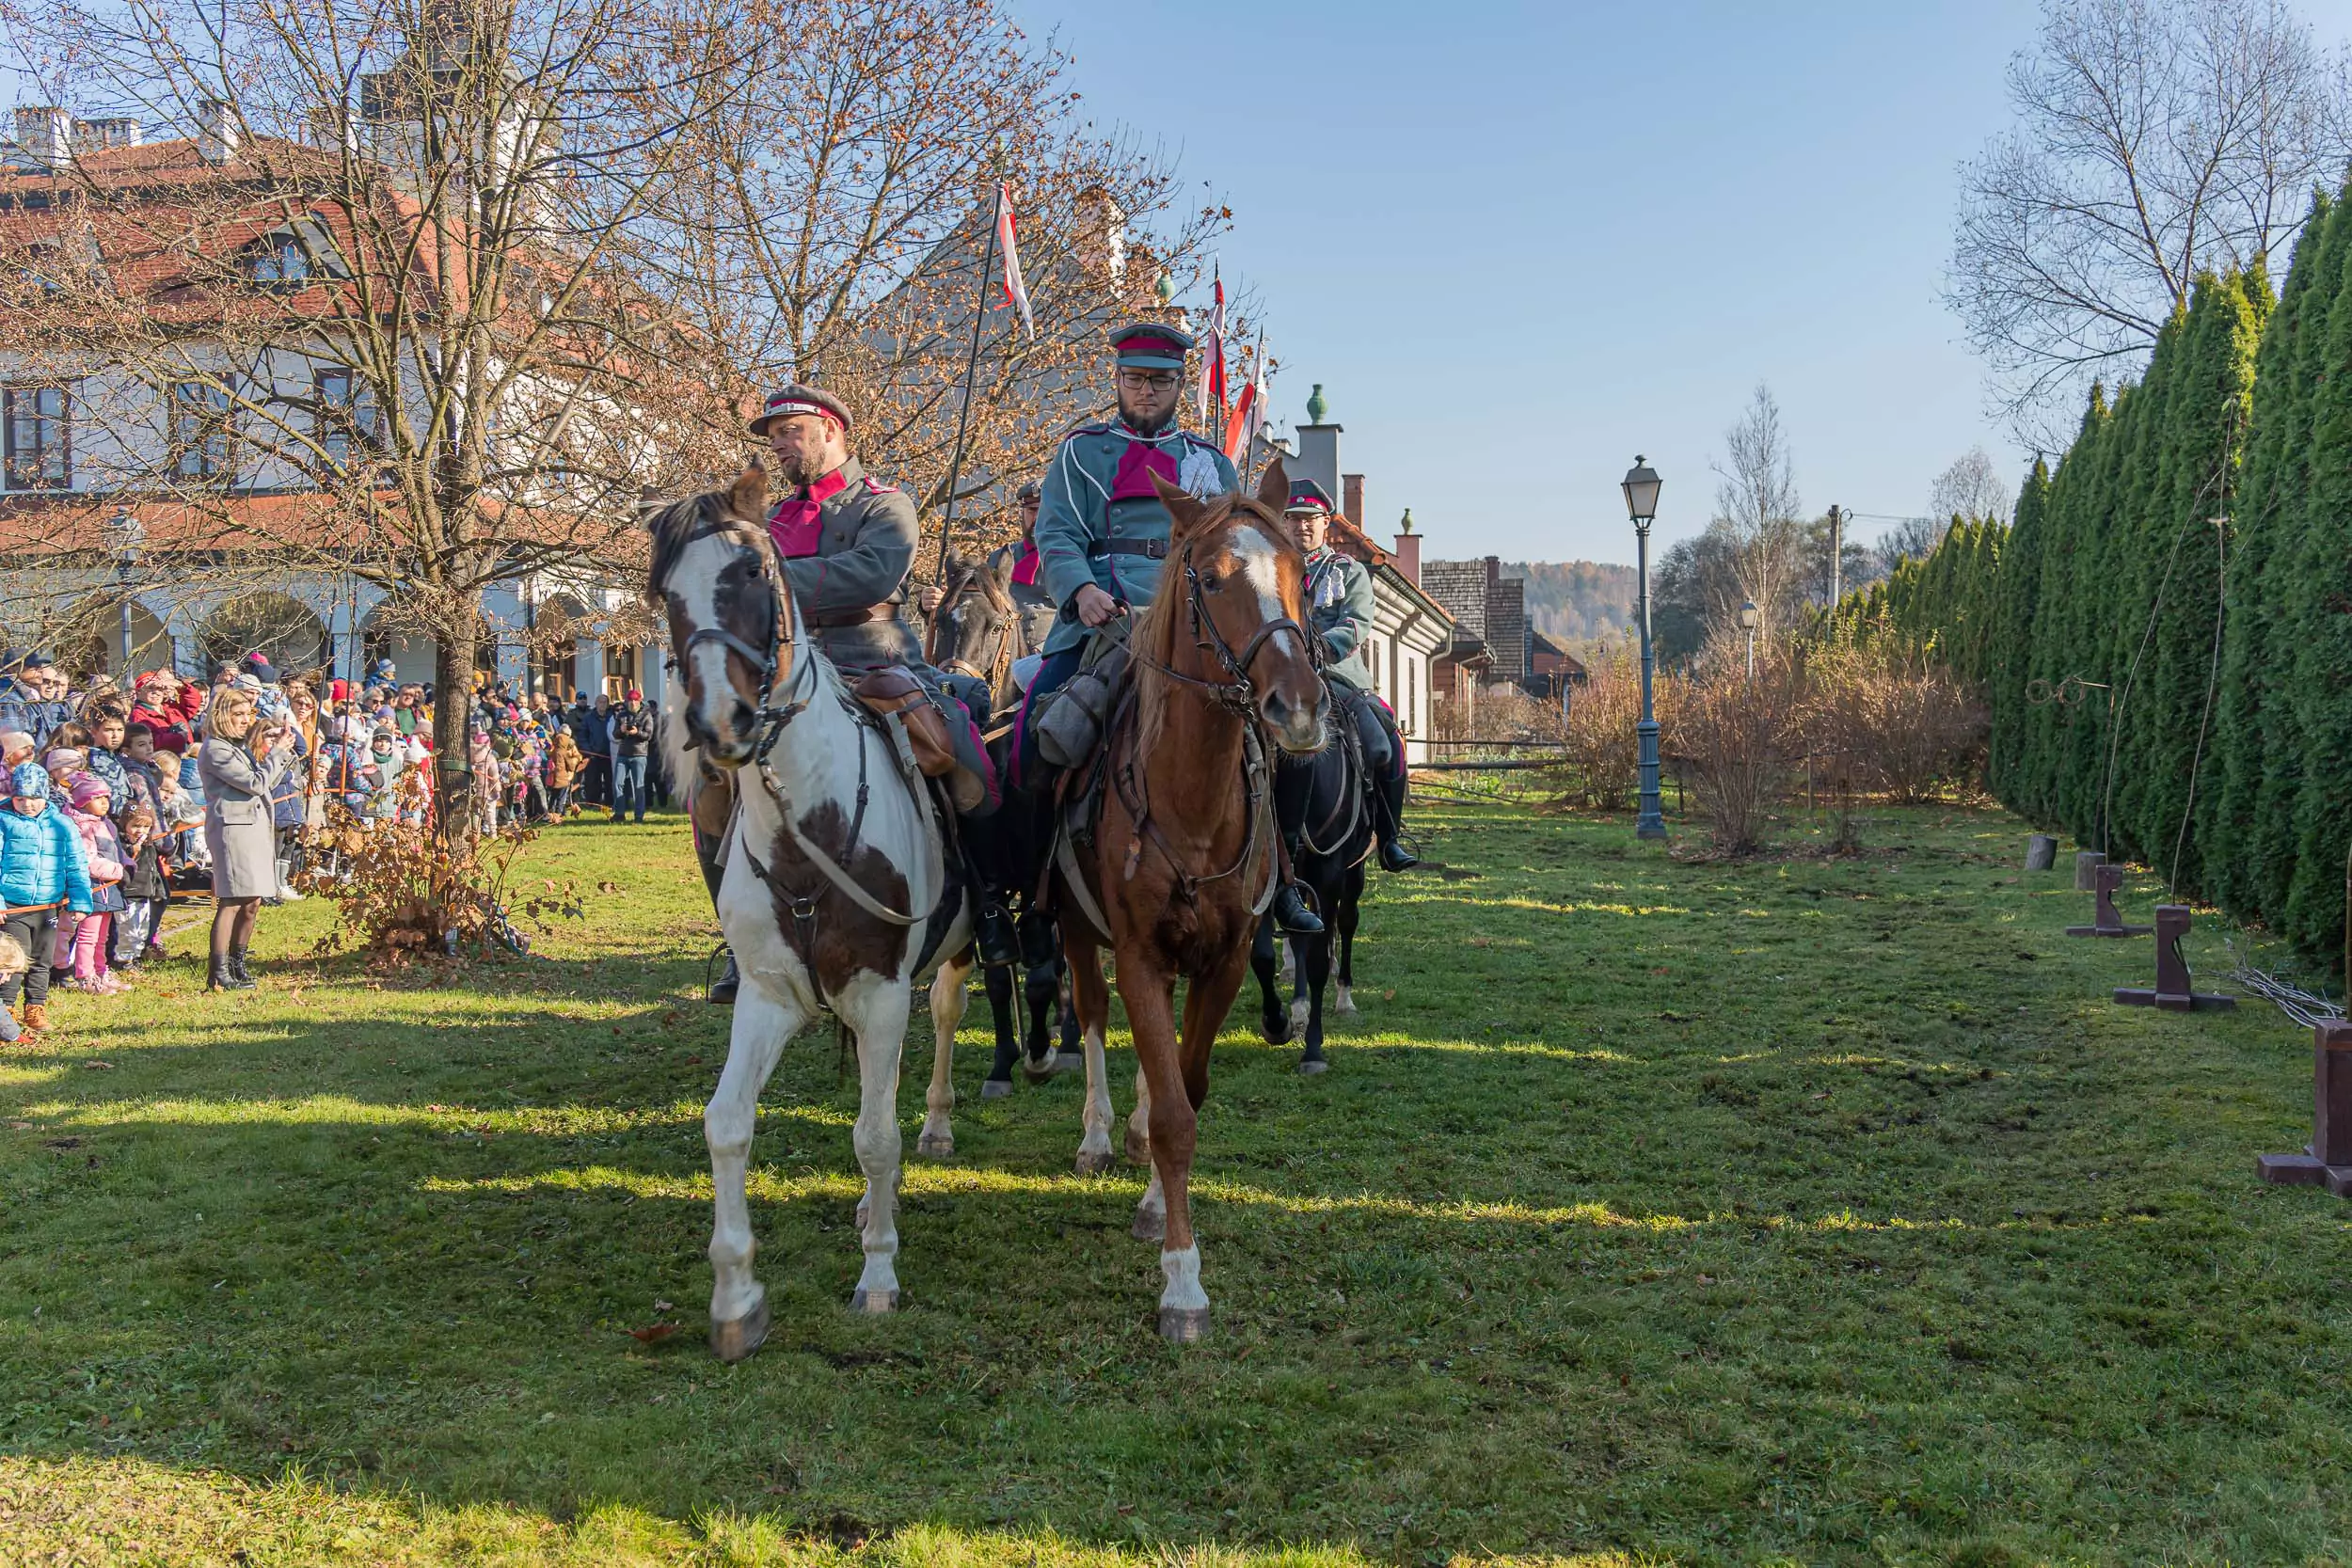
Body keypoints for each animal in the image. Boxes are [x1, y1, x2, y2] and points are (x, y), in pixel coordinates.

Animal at [654, 465, 1002, 1363]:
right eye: (665, 590)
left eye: (751, 572)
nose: (720, 722)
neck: (803, 822)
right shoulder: (768, 996)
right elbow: (726, 1123)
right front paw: (737, 1296)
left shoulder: (881, 993)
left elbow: (873, 1134)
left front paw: (877, 1275)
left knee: (944, 1022)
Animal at [1063, 460, 1336, 1344]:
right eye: (1212, 578)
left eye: (1297, 572)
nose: (1299, 705)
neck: (1190, 799)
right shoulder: (1140, 957)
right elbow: (1176, 1116)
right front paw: (1182, 1283)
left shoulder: (1222, 961)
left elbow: (1187, 1087)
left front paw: (1157, 1206)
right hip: (1074, 928)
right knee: (1089, 1014)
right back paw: (1099, 1132)